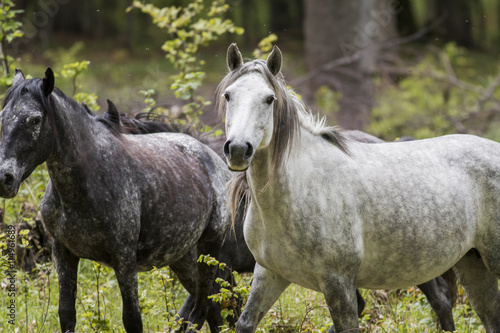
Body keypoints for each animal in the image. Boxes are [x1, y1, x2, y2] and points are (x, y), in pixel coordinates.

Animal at [218, 44, 500, 332]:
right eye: (229, 95)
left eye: (269, 99)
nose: (238, 149)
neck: (298, 190)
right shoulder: (270, 274)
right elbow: (245, 323)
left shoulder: (338, 283)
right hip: (473, 264)